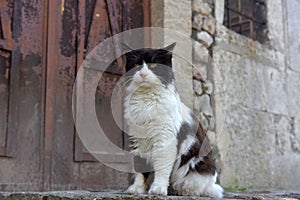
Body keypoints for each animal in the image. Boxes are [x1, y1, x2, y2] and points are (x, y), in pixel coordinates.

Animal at [122, 42, 223, 198]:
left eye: (153, 65)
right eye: (137, 64)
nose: (143, 74)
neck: (147, 101)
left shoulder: (165, 140)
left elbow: (162, 169)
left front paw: (158, 189)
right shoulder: (138, 141)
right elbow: (140, 168)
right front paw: (137, 188)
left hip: (194, 167)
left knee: (194, 188)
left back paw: (179, 191)